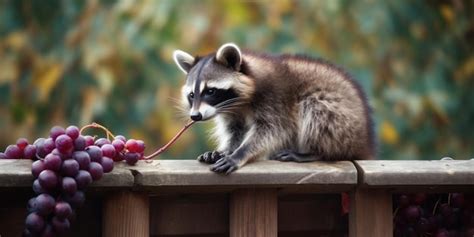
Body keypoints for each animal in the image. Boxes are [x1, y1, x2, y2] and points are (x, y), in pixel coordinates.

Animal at [172, 43, 376, 174]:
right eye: (192, 95)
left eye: (210, 91)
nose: (195, 116)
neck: (239, 103)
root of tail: (363, 144)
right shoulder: (232, 113)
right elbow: (235, 131)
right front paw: (226, 149)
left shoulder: (276, 99)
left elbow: (273, 130)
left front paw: (239, 153)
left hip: (341, 118)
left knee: (315, 110)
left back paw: (316, 152)